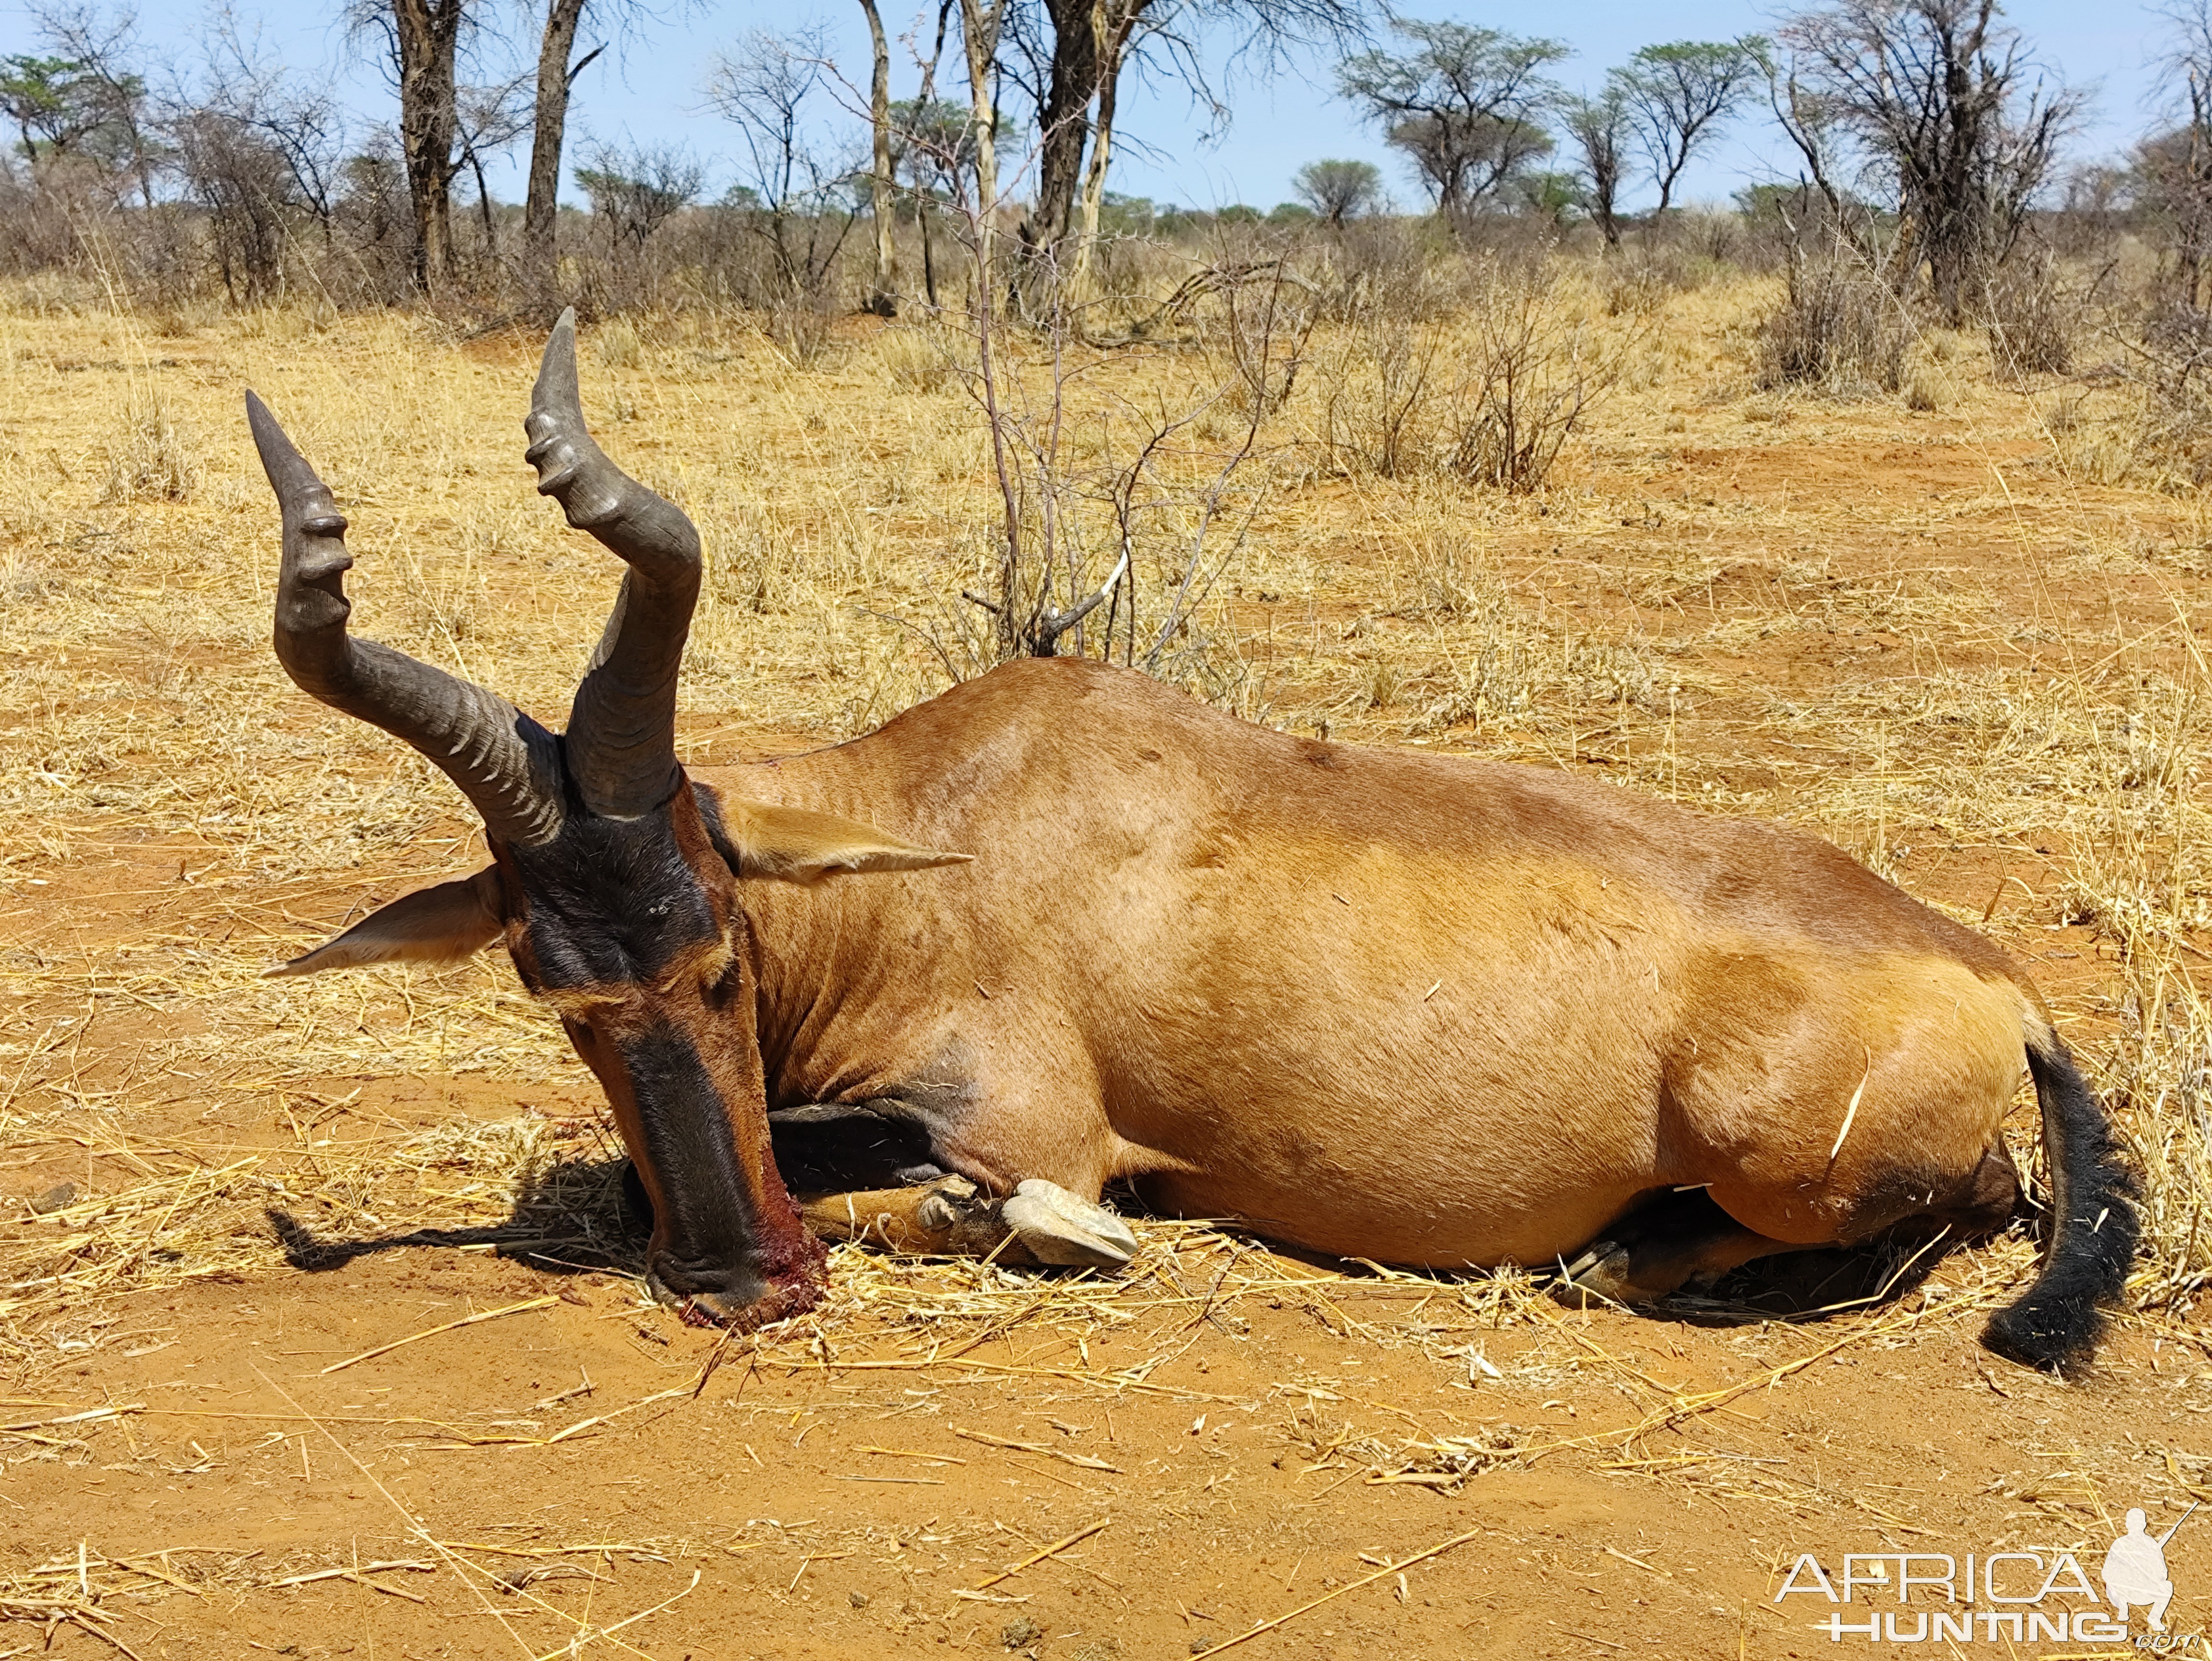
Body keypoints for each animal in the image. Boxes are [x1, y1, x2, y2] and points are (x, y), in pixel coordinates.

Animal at [251, 318, 2132, 1371]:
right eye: (557, 992)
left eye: (720, 947)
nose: (741, 1281)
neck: (951, 822)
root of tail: (1992, 978)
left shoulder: (1030, 1123)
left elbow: (990, 1196)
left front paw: (1065, 1233)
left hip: (1784, 1151)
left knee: (1952, 1210)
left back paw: (1630, 1254)